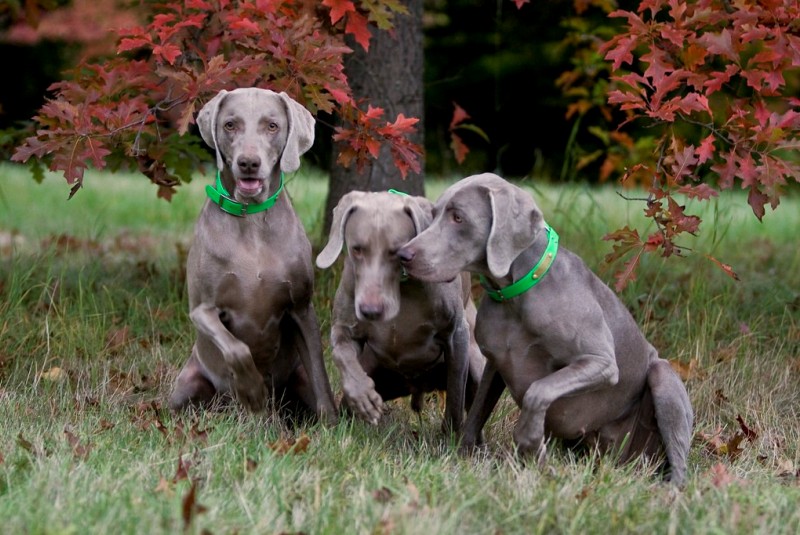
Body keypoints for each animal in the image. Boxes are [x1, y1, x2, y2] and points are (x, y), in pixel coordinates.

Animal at [170, 87, 338, 422]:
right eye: (230, 124)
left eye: (272, 126)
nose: (248, 162)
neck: (252, 221)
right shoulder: (202, 309)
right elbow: (236, 348)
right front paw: (252, 392)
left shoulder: (302, 308)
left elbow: (320, 372)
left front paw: (333, 424)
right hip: (186, 384)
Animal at [316, 191, 484, 434]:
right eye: (357, 249)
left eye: (396, 252)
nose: (370, 310)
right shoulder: (344, 326)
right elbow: (341, 353)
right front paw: (363, 397)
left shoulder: (456, 334)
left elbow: (455, 394)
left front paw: (452, 436)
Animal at [400, 174, 692, 484]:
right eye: (433, 215)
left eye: (458, 218)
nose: (403, 255)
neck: (515, 295)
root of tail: (628, 461)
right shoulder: (496, 362)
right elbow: (478, 410)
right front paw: (464, 456)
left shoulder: (600, 362)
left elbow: (538, 390)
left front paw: (530, 443)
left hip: (663, 379)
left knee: (679, 462)